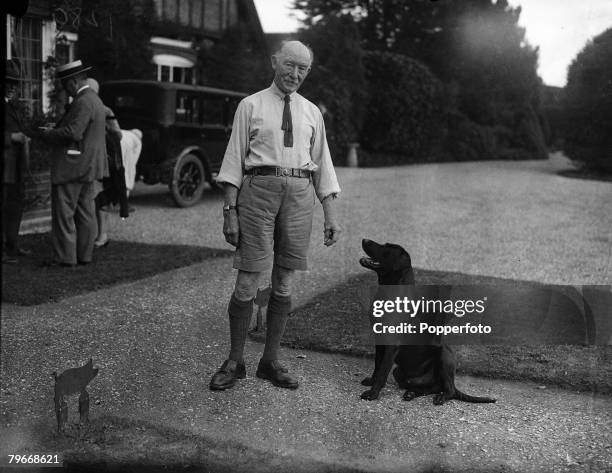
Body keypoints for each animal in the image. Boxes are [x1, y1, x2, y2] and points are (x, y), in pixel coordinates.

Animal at [360, 238, 494, 404]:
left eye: (387, 248)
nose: (364, 239)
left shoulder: (392, 344)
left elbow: (383, 370)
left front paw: (373, 393)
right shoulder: (379, 340)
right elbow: (377, 365)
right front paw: (371, 382)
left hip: (445, 356)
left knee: (448, 389)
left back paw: (441, 397)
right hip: (399, 372)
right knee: (431, 387)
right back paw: (411, 393)